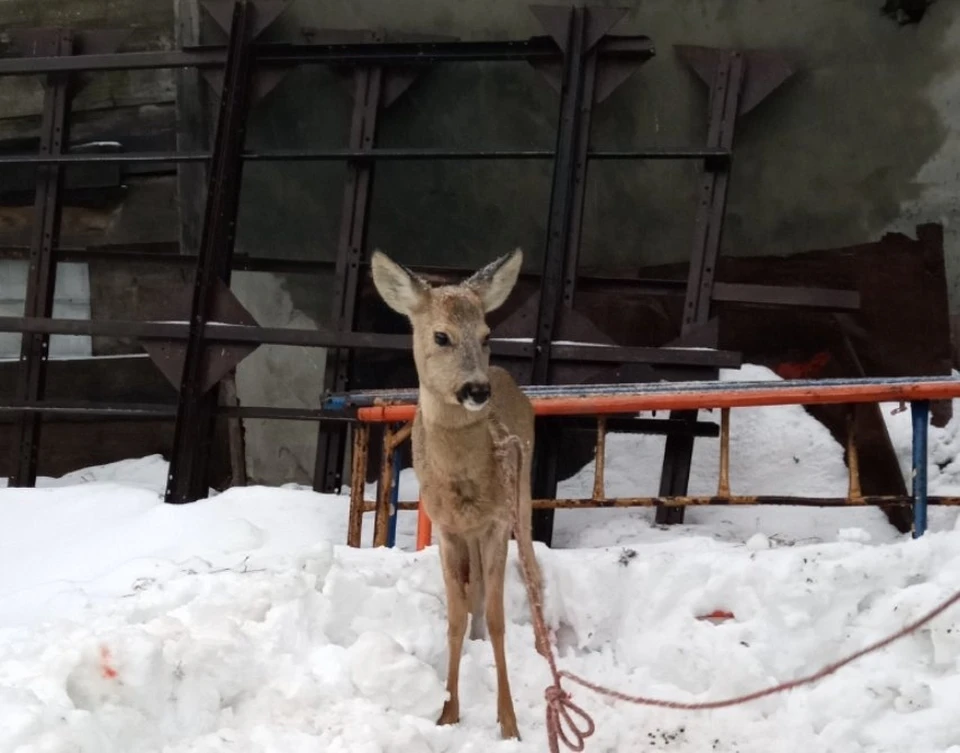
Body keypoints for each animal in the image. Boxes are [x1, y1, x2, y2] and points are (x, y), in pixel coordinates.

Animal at [372, 248, 544, 740]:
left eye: (487, 334)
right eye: (441, 335)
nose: (476, 389)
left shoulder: (497, 521)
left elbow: (499, 617)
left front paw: (509, 723)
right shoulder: (448, 528)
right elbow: (455, 615)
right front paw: (447, 712)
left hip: (523, 497)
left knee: (531, 573)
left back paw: (541, 650)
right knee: (475, 592)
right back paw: (475, 643)